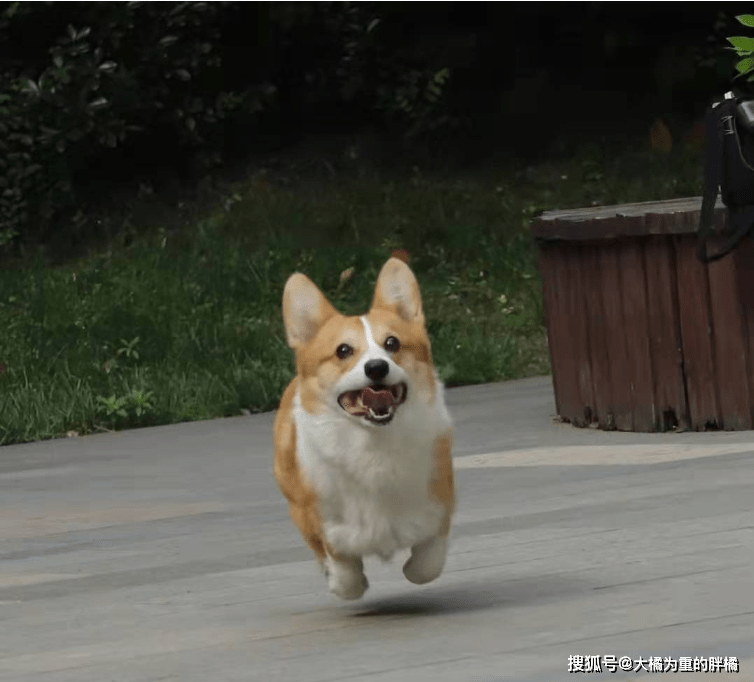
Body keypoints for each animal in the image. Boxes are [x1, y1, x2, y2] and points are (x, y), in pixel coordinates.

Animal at [274, 256, 456, 600]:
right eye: (343, 350)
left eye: (392, 343)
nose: (376, 367)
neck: (373, 442)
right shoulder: (321, 520)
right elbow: (343, 570)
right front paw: (345, 582)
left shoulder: (438, 505)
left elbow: (427, 562)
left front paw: (414, 569)